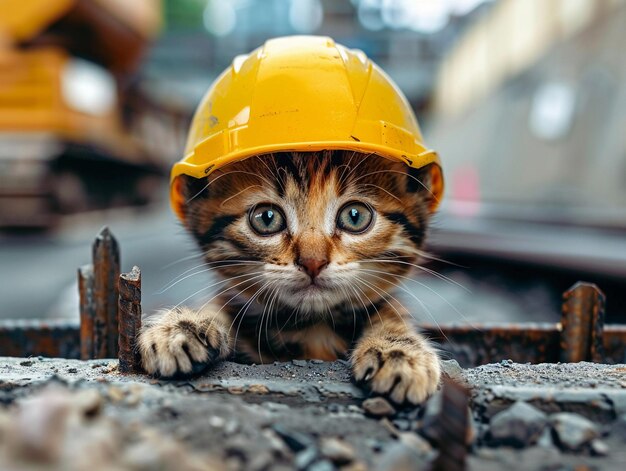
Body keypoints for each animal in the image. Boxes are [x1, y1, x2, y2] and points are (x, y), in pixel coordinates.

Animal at [138, 151, 438, 406]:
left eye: (355, 216)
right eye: (266, 218)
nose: (313, 262)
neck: (311, 326)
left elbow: (391, 309)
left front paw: (399, 352)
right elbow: (223, 302)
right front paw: (184, 325)